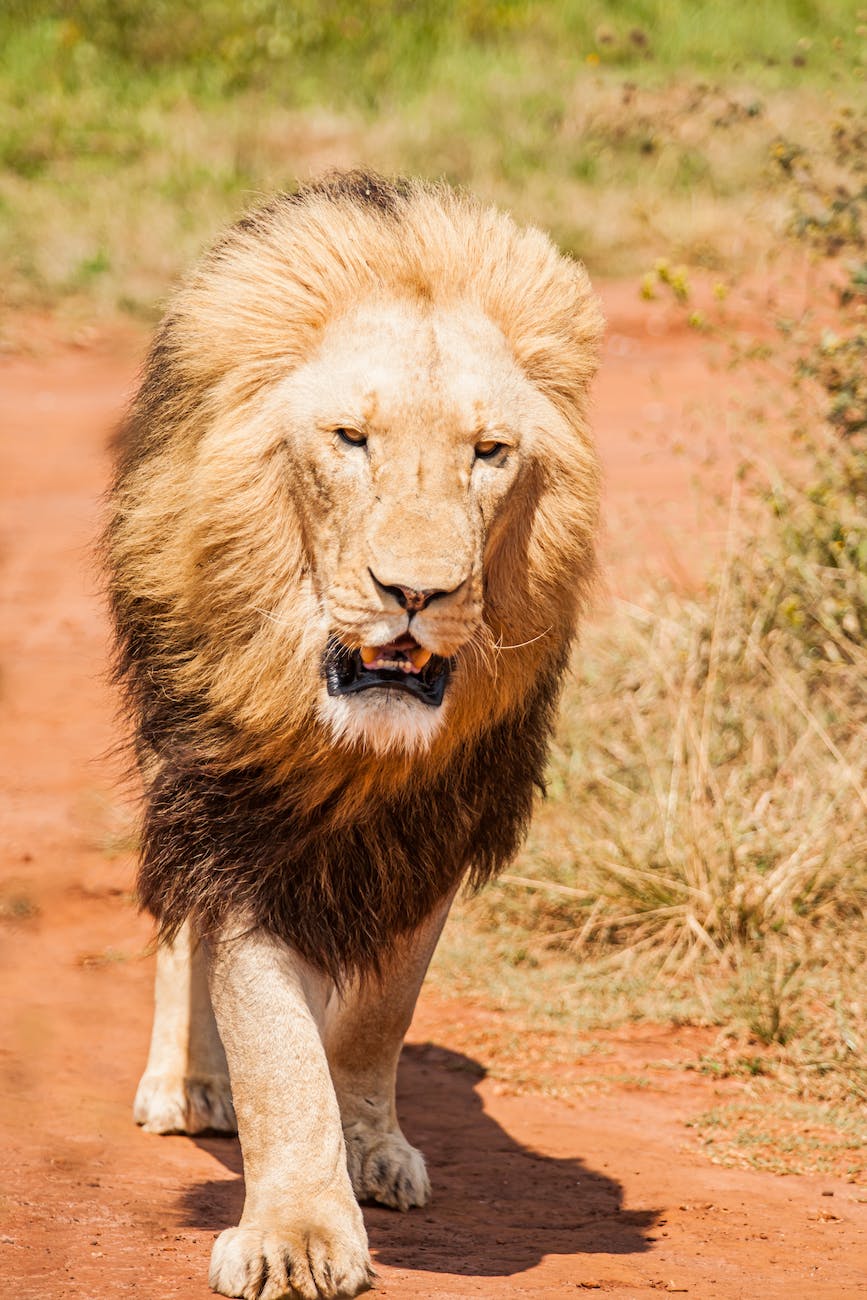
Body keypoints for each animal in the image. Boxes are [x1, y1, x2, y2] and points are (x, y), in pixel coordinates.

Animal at [106, 170, 602, 1300]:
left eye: (488, 453)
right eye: (350, 439)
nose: (415, 594)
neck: (362, 752)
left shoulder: (439, 827)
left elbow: (381, 1015)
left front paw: (369, 1146)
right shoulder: (236, 817)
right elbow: (272, 1040)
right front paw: (296, 1234)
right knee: (176, 934)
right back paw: (184, 1083)